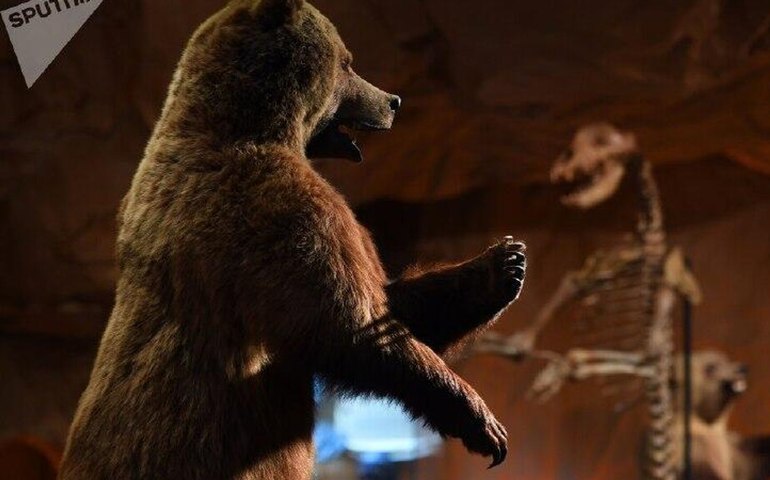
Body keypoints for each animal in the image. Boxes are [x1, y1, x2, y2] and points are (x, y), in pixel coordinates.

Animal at [58, 0, 527, 479]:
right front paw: (481, 421)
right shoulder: (281, 212)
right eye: (348, 62)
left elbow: (387, 301)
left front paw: (502, 264)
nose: (394, 101)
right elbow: (348, 325)